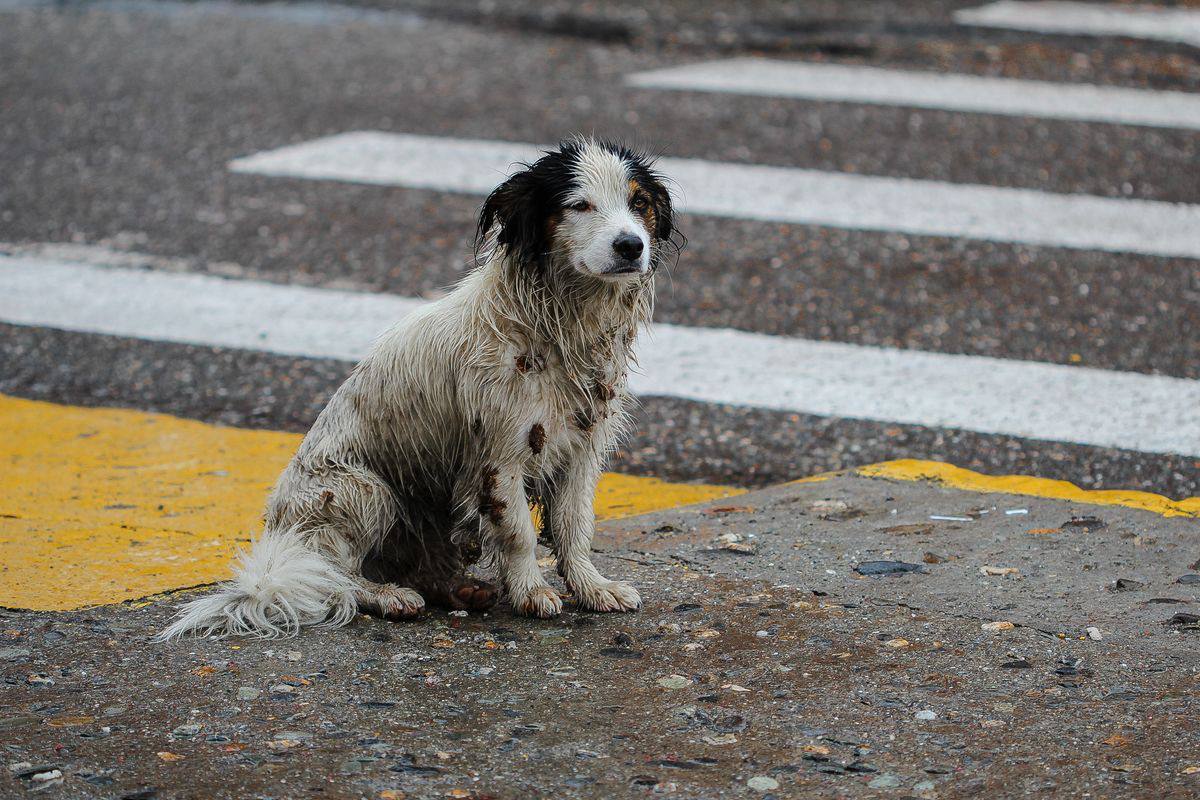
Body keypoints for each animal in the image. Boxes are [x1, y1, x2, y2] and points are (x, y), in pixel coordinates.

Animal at [159, 137, 681, 638]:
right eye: (579, 205)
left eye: (639, 203)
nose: (631, 246)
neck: (555, 326)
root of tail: (277, 540)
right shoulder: (500, 457)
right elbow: (519, 533)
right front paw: (532, 593)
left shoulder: (580, 447)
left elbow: (574, 528)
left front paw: (593, 589)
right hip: (360, 490)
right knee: (333, 576)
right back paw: (387, 595)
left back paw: (458, 589)